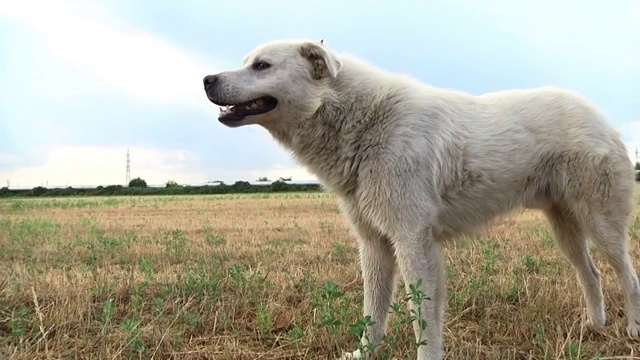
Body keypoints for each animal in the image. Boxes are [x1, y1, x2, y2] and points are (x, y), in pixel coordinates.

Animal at [201, 39, 640, 360]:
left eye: (262, 66)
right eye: (247, 62)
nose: (206, 79)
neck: (366, 122)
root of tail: (599, 116)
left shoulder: (413, 242)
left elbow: (422, 319)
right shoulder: (374, 244)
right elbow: (373, 313)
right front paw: (364, 354)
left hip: (602, 225)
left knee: (627, 275)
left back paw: (633, 330)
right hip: (565, 228)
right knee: (591, 274)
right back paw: (595, 327)